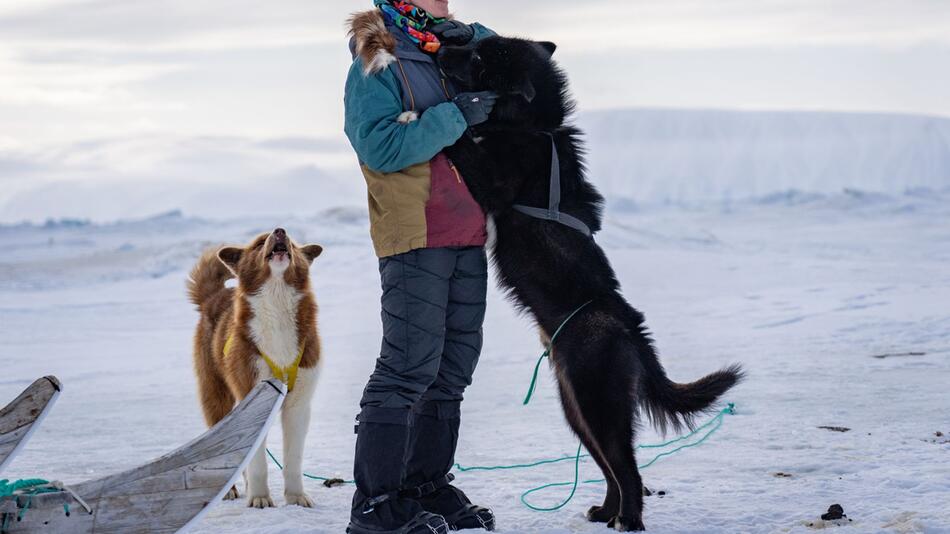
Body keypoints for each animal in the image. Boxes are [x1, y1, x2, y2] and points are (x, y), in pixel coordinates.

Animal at [188, 227, 326, 510]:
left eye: (292, 241)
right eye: (260, 242)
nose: (280, 230)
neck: (277, 300)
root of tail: (213, 297)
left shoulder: (298, 405)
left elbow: (293, 459)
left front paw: (296, 496)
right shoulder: (251, 394)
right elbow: (257, 461)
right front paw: (260, 496)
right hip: (216, 396)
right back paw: (230, 489)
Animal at [438, 37, 744, 532]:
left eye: (480, 58)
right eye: (478, 44)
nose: (445, 43)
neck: (534, 126)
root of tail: (627, 323)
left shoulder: (493, 181)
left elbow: (463, 141)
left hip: (598, 403)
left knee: (628, 469)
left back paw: (630, 519)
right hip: (577, 407)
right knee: (610, 468)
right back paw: (606, 511)